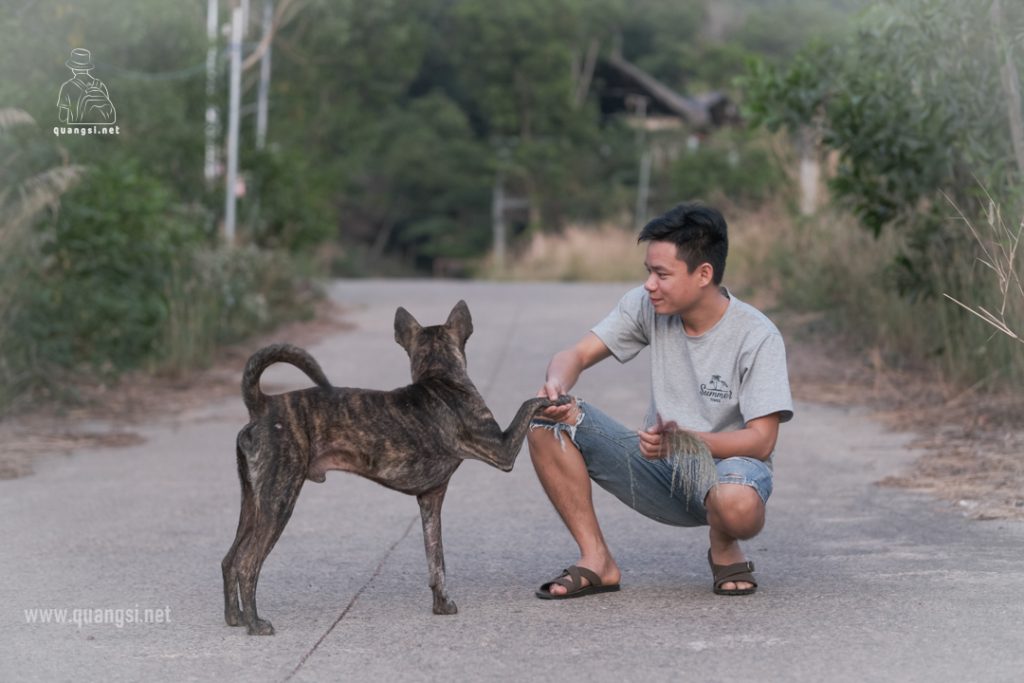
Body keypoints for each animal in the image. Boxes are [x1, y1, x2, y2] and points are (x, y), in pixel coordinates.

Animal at [221, 301, 569, 634]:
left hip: (253, 502)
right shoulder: (502, 449)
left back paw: (235, 618)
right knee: (248, 563)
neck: (440, 378)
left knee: (230, 559)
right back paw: (256, 624)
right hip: (280, 499)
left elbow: (436, 560)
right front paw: (556, 399)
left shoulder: (430, 499)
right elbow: (528, 403)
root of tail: (263, 406)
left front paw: (441, 605)